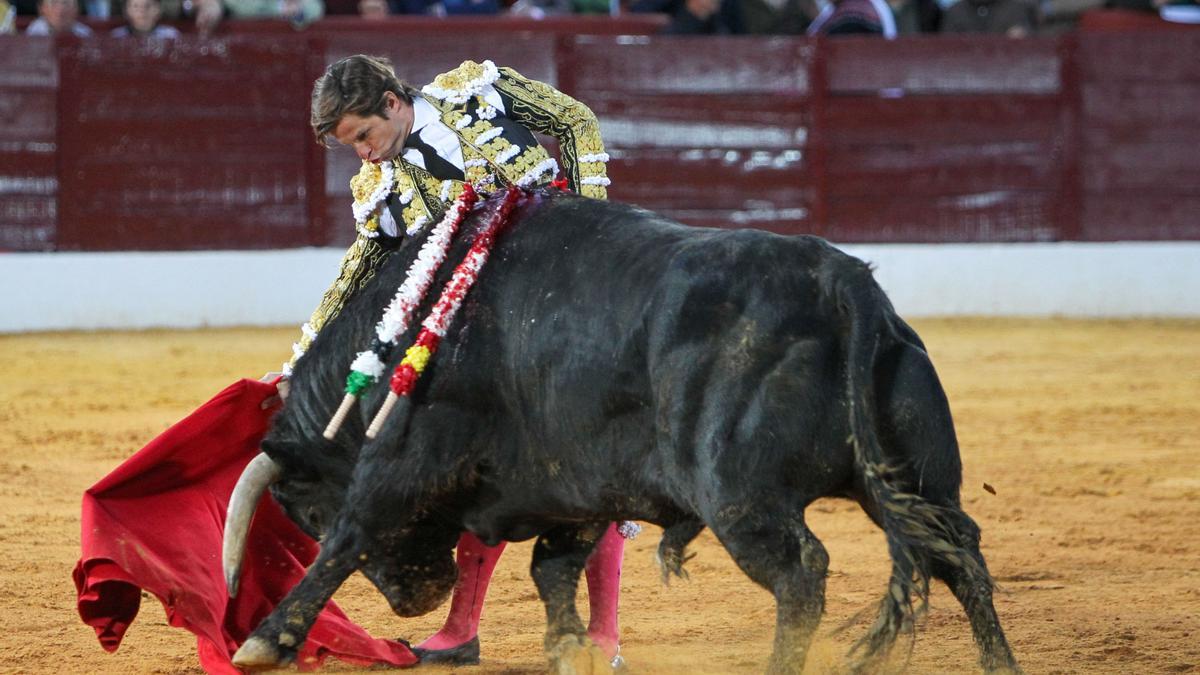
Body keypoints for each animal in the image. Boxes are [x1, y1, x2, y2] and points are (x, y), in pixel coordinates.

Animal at [220, 189, 1017, 672]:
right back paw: (1001, 663)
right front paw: (570, 649)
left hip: (738, 497)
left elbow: (355, 534)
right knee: (959, 555)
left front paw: (263, 639)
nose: (414, 597)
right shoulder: (570, 484)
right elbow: (554, 568)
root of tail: (841, 281)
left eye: (306, 512)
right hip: (916, 479)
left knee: (801, 572)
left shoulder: (406, 459)